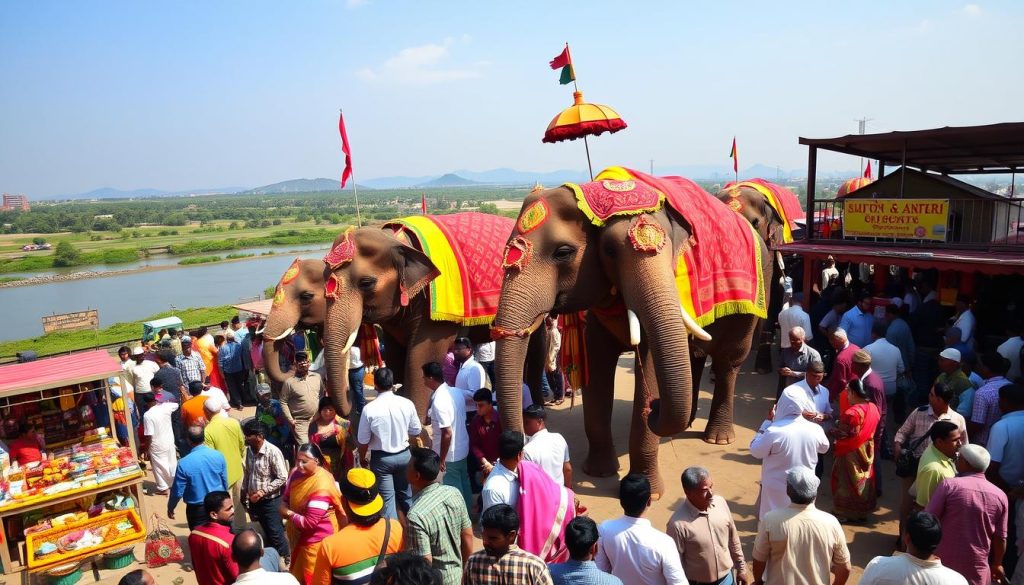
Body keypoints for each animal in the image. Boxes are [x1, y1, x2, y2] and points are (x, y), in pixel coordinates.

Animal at [491, 169, 772, 497]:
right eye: (609, 250)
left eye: (563, 252)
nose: (656, 407)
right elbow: (598, 369)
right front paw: (599, 472)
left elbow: (648, 368)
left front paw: (650, 492)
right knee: (695, 353)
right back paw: (686, 421)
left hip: (755, 295)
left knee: (730, 360)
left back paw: (717, 437)